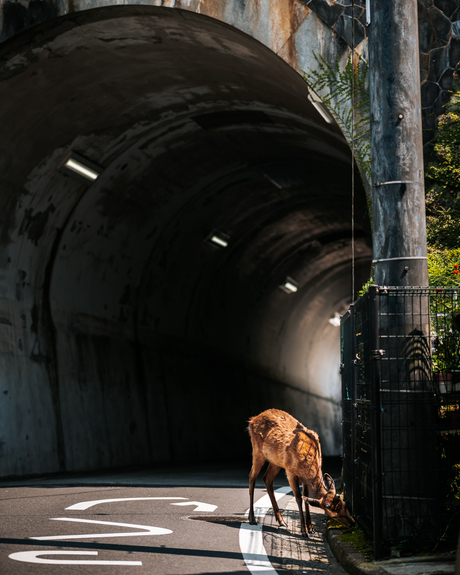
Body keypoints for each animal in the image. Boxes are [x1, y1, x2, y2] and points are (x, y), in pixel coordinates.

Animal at [248, 408, 356, 536]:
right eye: (333, 516)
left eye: (344, 505)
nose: (353, 523)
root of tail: (253, 419)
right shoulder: (290, 472)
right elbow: (299, 499)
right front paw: (304, 531)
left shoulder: (305, 479)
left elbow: (306, 499)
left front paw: (311, 528)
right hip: (257, 451)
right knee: (252, 477)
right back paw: (252, 519)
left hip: (275, 461)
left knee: (267, 478)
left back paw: (282, 521)